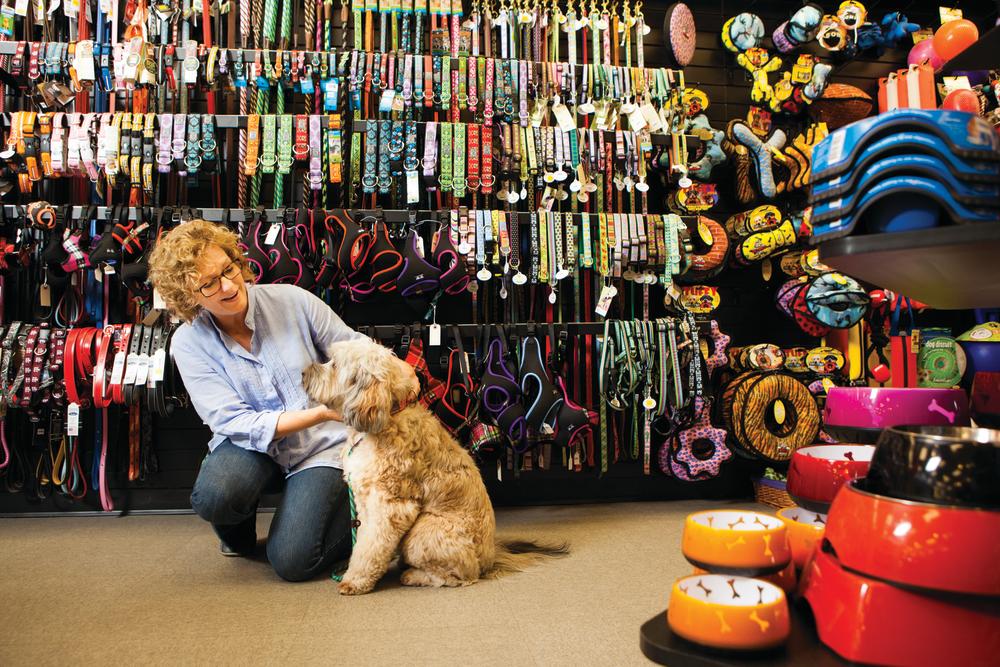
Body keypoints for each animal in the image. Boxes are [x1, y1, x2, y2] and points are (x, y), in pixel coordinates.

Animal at [300, 340, 568, 596]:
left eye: (334, 364)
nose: (303, 373)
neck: (389, 417)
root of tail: (489, 559)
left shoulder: (389, 507)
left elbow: (370, 547)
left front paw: (355, 580)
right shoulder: (365, 501)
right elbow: (363, 543)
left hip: (424, 532)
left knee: (462, 576)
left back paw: (413, 575)